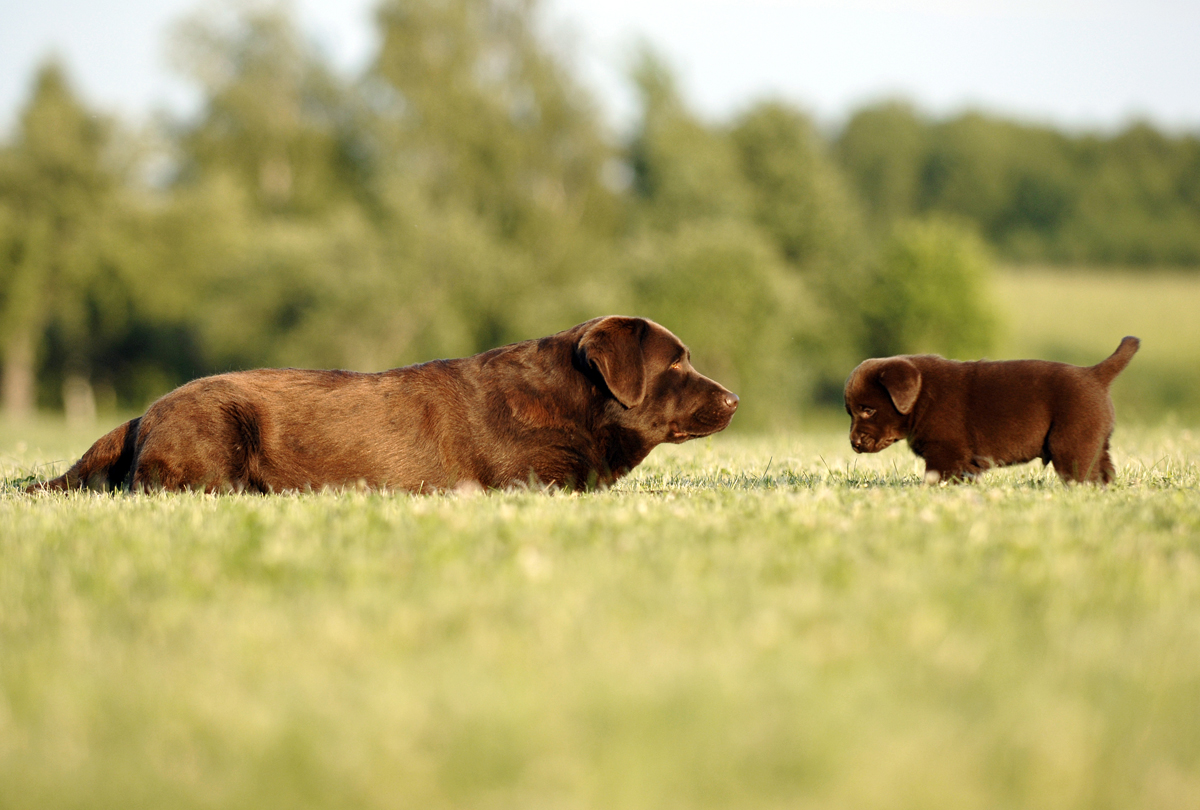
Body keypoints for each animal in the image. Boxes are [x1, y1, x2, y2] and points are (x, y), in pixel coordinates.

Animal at [840, 338, 1137, 484]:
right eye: (851, 413)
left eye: (868, 410)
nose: (854, 443)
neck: (923, 396)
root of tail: (1094, 374)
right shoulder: (964, 462)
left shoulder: (945, 453)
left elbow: (936, 479)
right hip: (1096, 442)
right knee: (1104, 472)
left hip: (1071, 442)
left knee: (1083, 475)